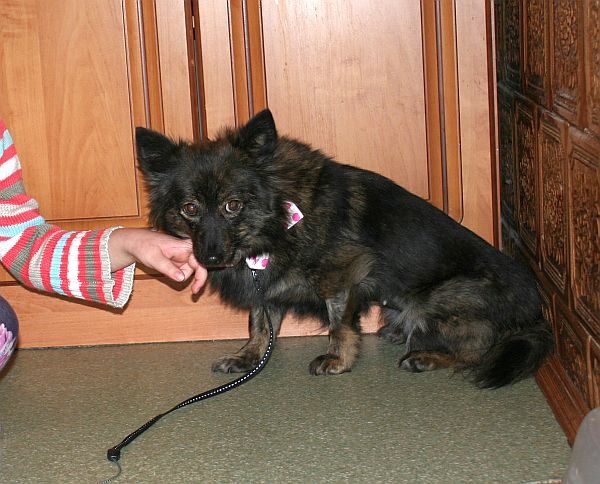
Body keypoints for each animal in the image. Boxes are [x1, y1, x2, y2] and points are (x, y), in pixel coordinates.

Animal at [136, 109, 552, 388]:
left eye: (232, 205)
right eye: (190, 208)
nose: (210, 257)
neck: (277, 221)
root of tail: (536, 314)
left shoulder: (344, 273)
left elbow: (339, 323)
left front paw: (338, 360)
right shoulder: (265, 283)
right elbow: (259, 323)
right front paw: (248, 357)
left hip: (439, 296)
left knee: (479, 346)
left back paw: (425, 355)